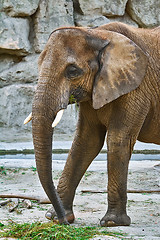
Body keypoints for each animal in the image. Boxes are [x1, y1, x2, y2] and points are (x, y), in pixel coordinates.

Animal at [28, 21, 160, 226]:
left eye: (72, 71)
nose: (64, 221)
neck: (98, 33)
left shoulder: (137, 87)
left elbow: (117, 140)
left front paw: (112, 223)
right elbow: (86, 142)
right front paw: (56, 217)